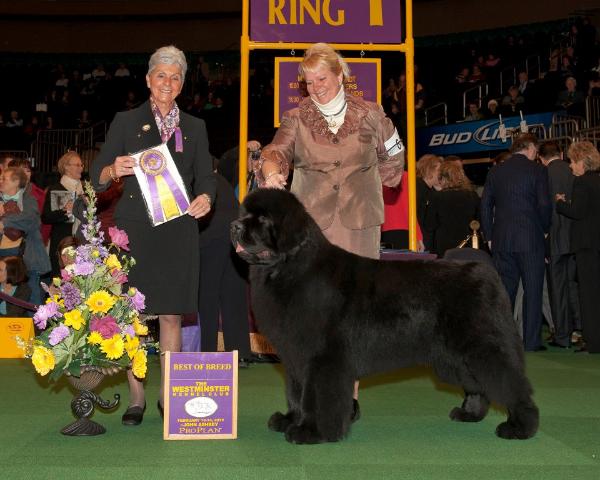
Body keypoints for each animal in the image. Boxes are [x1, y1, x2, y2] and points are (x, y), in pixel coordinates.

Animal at [231, 189, 540, 444]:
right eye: (245, 214)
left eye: (263, 219)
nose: (234, 226)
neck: (290, 269)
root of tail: (486, 272)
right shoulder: (295, 355)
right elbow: (295, 393)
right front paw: (288, 421)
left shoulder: (322, 358)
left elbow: (315, 397)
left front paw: (311, 432)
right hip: (454, 357)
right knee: (478, 385)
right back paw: (470, 414)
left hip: (480, 347)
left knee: (510, 383)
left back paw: (520, 426)